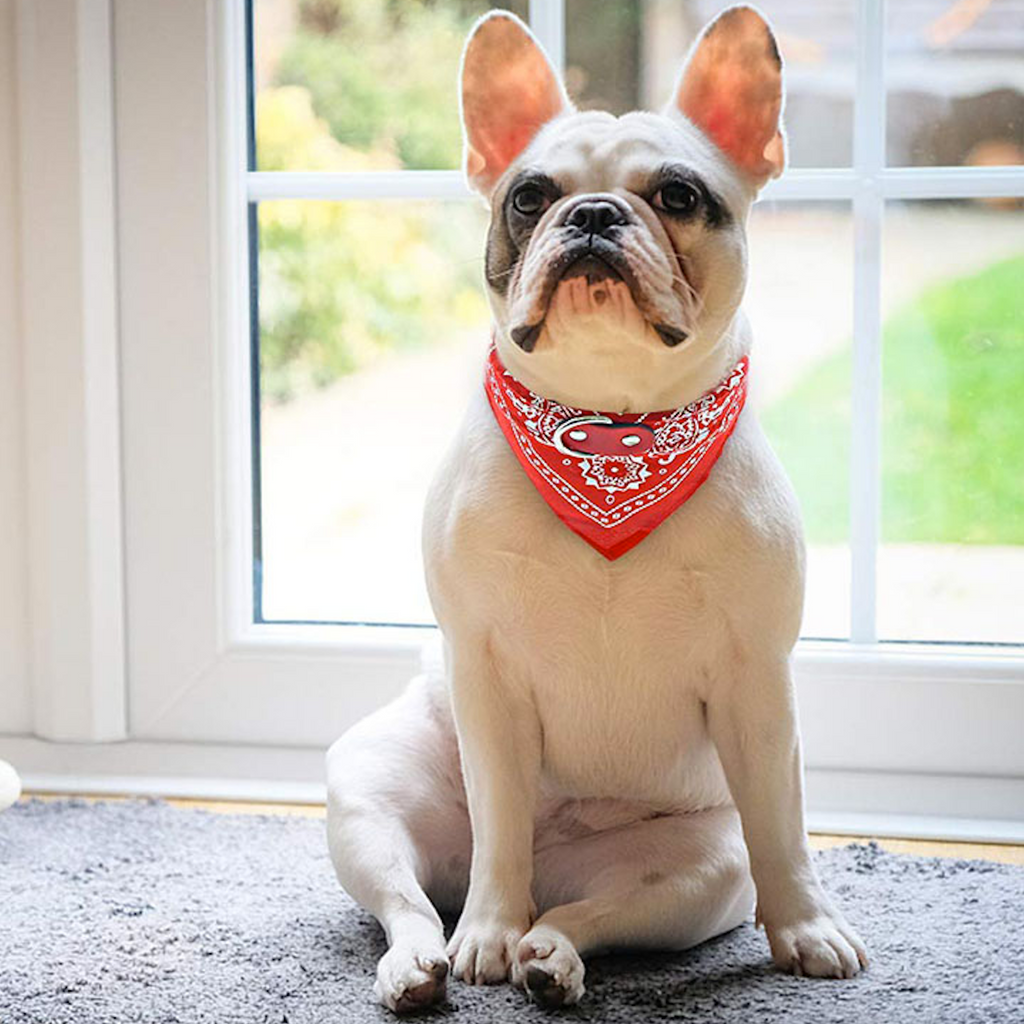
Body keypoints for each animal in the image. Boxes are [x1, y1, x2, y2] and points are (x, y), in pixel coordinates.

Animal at [325, 8, 864, 1011]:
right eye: (531, 196)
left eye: (680, 196)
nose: (593, 215)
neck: (609, 438)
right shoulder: (486, 672)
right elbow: (499, 822)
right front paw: (486, 933)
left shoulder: (757, 682)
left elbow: (784, 827)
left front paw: (807, 930)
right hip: (366, 793)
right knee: (412, 899)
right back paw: (428, 962)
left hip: (702, 869)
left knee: (596, 913)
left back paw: (551, 956)